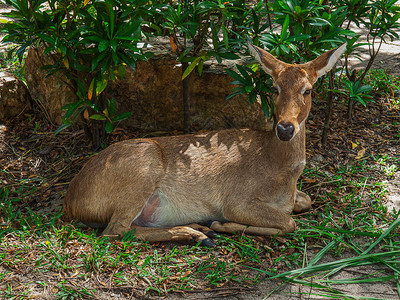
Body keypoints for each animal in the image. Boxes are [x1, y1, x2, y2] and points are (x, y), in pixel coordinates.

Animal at [62, 43, 346, 247]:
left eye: (308, 90)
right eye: (274, 88)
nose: (285, 128)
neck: (283, 173)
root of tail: (71, 200)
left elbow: (305, 201)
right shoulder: (237, 199)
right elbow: (289, 223)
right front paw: (221, 225)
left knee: (127, 228)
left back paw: (198, 230)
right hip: (141, 168)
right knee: (115, 231)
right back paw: (199, 233)